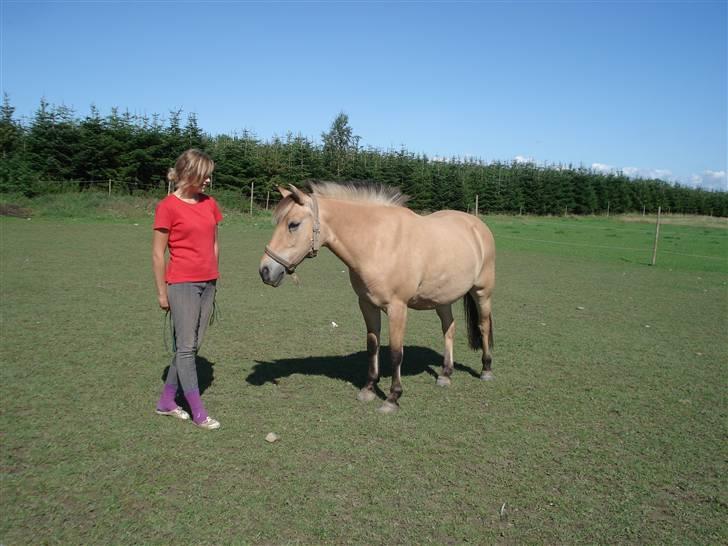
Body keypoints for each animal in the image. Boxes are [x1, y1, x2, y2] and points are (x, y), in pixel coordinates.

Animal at [258, 183, 494, 412]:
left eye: (293, 224)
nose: (265, 271)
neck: (378, 243)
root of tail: (477, 225)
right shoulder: (367, 304)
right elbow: (373, 345)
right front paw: (369, 388)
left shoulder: (397, 308)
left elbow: (396, 353)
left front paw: (392, 398)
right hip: (442, 299)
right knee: (449, 329)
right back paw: (445, 374)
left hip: (482, 293)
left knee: (483, 326)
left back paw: (486, 370)